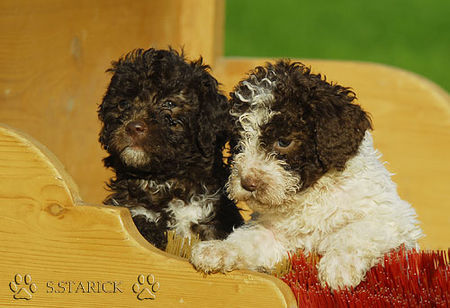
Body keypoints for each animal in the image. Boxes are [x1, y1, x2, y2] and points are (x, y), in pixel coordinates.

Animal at [190, 61, 422, 290]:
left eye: (283, 142)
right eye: (239, 143)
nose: (247, 183)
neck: (309, 196)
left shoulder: (391, 218)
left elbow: (355, 231)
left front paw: (338, 268)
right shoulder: (274, 235)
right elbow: (247, 240)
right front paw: (217, 250)